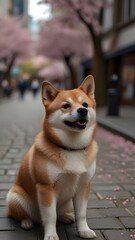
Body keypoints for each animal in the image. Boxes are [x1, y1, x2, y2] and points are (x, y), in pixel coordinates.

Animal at [6, 75, 97, 240]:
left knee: (60, 213)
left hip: (67, 201)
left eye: (85, 104)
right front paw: (51, 235)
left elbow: (81, 214)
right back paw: (27, 222)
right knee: (21, 215)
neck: (71, 149)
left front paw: (84, 230)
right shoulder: (46, 187)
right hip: (15, 197)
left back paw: (66, 217)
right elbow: (50, 216)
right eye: (66, 106)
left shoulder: (83, 186)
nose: (82, 110)